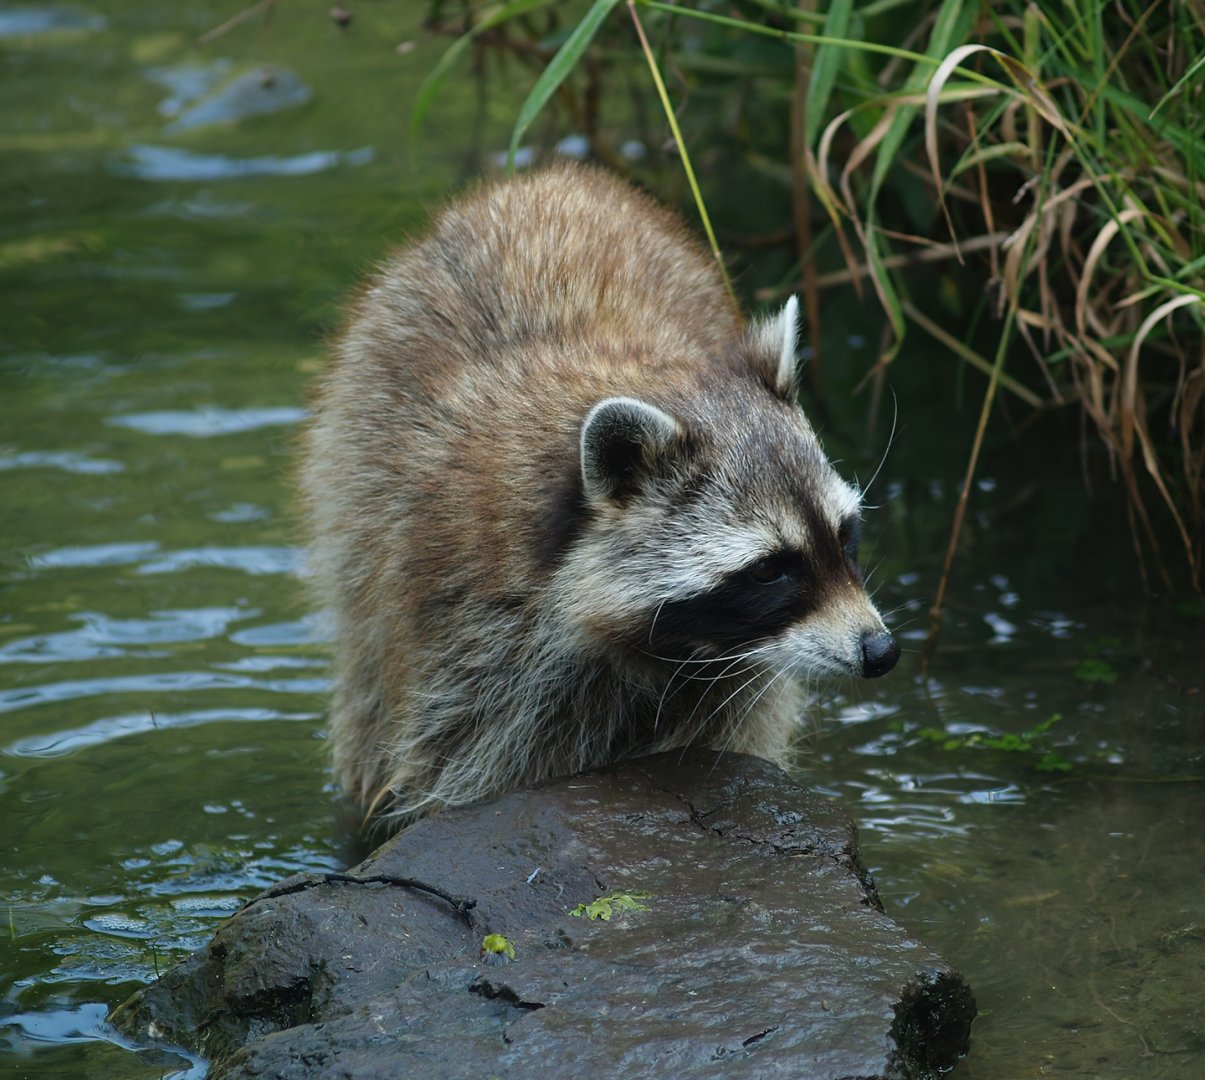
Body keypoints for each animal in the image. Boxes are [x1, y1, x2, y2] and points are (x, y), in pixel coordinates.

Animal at [301, 163, 898, 822]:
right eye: (771, 568)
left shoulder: (737, 673)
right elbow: (469, 759)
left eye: (844, 534)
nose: (880, 651)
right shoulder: (468, 633)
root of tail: (547, 179)